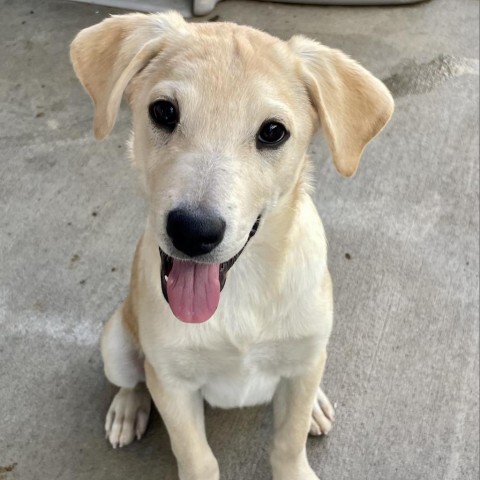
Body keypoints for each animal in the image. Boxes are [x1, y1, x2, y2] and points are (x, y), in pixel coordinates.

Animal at [71, 12, 394, 480]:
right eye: (164, 111)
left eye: (273, 132)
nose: (193, 231)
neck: (241, 288)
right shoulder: (172, 383)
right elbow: (196, 456)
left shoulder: (303, 362)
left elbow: (288, 441)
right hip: (115, 340)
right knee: (133, 377)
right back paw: (128, 409)